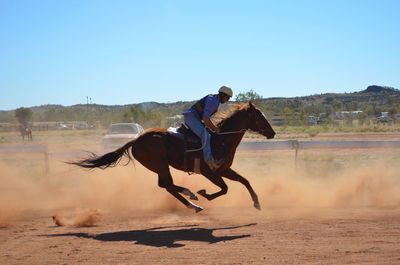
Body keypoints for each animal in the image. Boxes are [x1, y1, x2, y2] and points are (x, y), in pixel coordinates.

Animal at [69, 102, 276, 211]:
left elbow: (244, 180)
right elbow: (225, 189)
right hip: (160, 164)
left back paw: (192, 203)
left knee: (166, 185)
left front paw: (257, 202)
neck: (221, 139)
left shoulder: (224, 169)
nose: (272, 133)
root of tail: (136, 140)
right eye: (259, 116)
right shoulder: (209, 172)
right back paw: (191, 196)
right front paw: (204, 193)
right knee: (167, 184)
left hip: (159, 166)